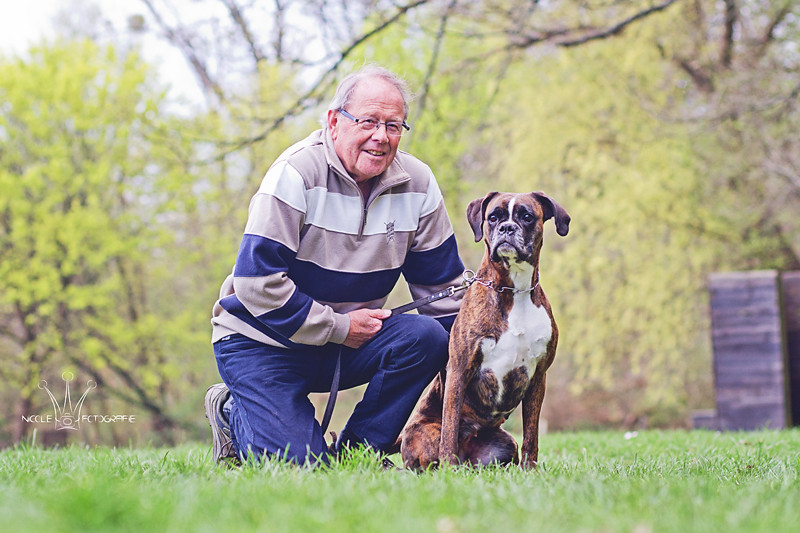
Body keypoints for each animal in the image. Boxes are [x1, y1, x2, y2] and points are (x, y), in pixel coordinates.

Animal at [400, 191, 568, 470]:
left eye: (527, 216)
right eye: (493, 217)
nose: (506, 228)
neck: (514, 289)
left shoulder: (538, 376)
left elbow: (531, 433)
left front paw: (529, 471)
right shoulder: (459, 369)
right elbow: (450, 427)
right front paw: (448, 469)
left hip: (505, 444)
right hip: (424, 437)